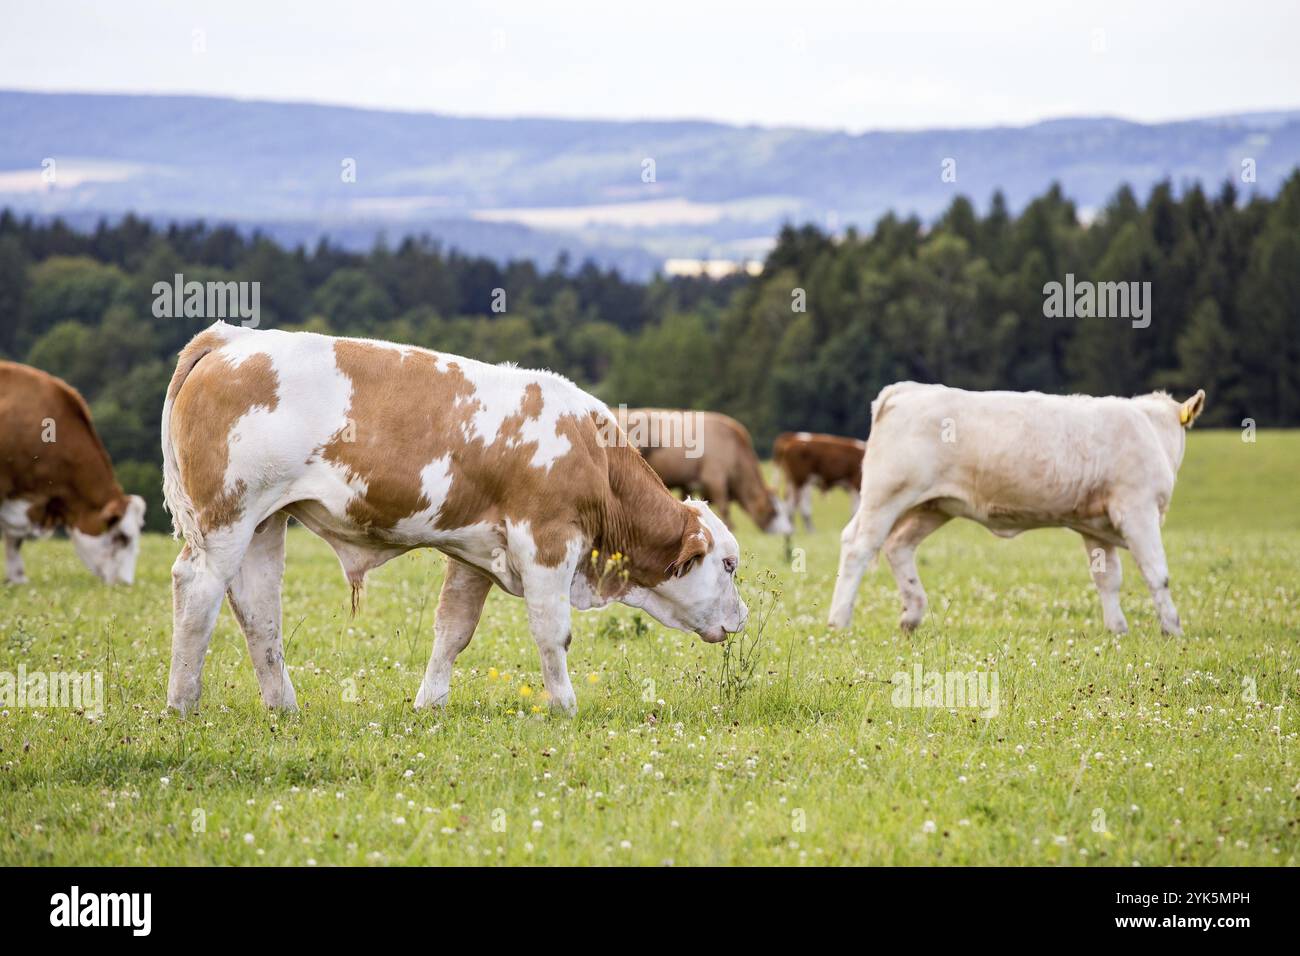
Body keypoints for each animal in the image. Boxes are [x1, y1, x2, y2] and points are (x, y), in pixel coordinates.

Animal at [163, 325, 754, 712]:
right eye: (728, 564)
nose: (743, 618)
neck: (593, 453)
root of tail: (231, 338)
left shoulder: (475, 555)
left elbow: (453, 630)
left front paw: (431, 703)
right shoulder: (547, 541)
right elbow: (552, 632)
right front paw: (565, 706)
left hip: (265, 522)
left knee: (258, 608)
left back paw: (282, 705)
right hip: (228, 515)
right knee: (197, 590)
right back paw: (182, 704)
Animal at [832, 379, 1206, 634]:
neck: (1150, 430)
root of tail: (907, 390)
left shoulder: (1096, 526)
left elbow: (1107, 579)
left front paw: (1117, 628)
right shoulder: (1138, 509)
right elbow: (1158, 573)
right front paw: (1173, 628)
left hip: (932, 506)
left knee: (898, 546)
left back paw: (912, 614)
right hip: (886, 494)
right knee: (858, 545)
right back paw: (839, 619)